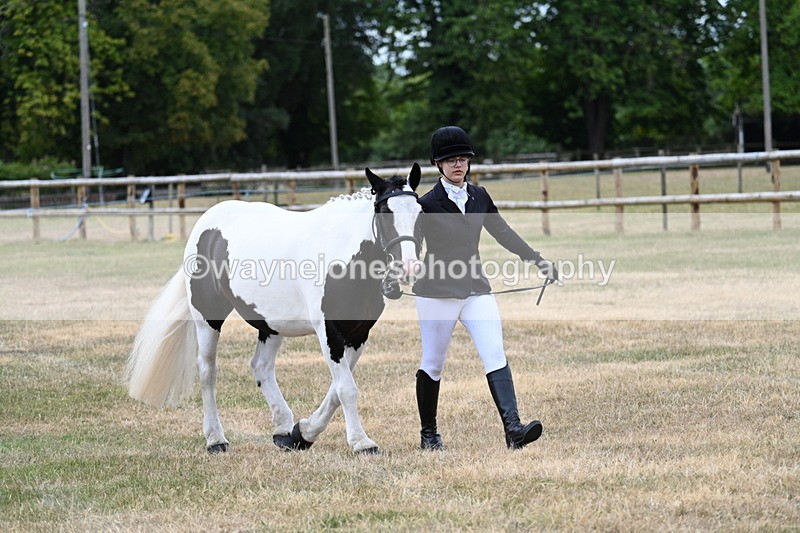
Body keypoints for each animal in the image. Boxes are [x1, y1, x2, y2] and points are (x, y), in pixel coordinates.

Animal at [126, 164, 422, 454]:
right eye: (385, 213)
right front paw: (361, 442)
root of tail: (206, 225)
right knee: (208, 371)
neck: (342, 255)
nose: (409, 267)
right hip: (207, 317)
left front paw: (303, 433)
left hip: (270, 324)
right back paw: (216, 439)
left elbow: (336, 390)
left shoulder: (358, 334)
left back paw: (282, 430)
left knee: (261, 367)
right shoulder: (329, 331)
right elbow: (346, 388)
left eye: (420, 211)